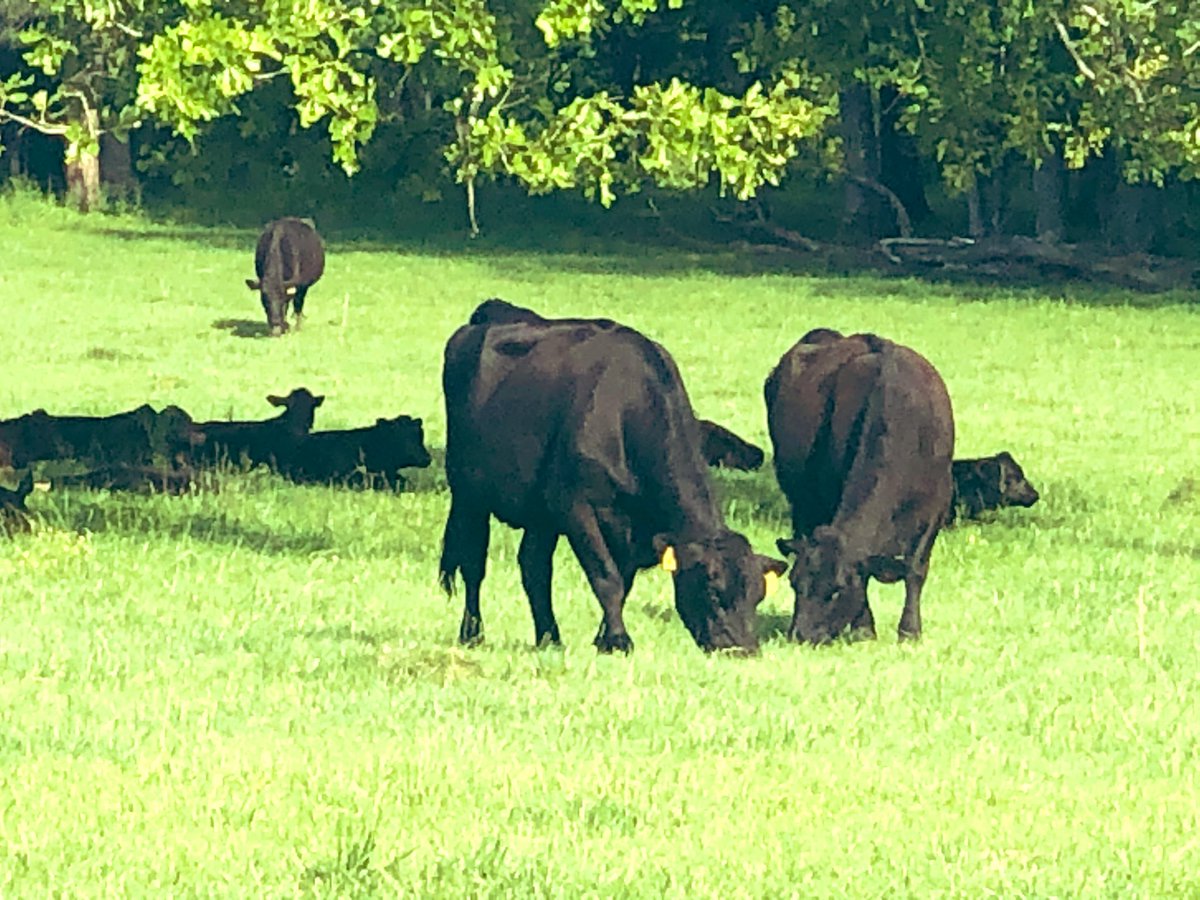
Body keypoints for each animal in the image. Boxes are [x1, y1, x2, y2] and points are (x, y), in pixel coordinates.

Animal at [440, 298, 787, 654]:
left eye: (758, 597)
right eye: (712, 591)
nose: (743, 650)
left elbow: (625, 580)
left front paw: (604, 638)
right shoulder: (575, 506)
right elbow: (607, 576)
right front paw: (619, 640)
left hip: (540, 513)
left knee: (533, 566)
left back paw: (549, 637)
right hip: (467, 492)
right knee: (473, 562)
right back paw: (472, 633)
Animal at [766, 331, 954, 645]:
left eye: (837, 590)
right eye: (794, 584)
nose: (800, 636)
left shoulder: (937, 506)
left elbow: (915, 569)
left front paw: (910, 631)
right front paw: (864, 629)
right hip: (801, 499)